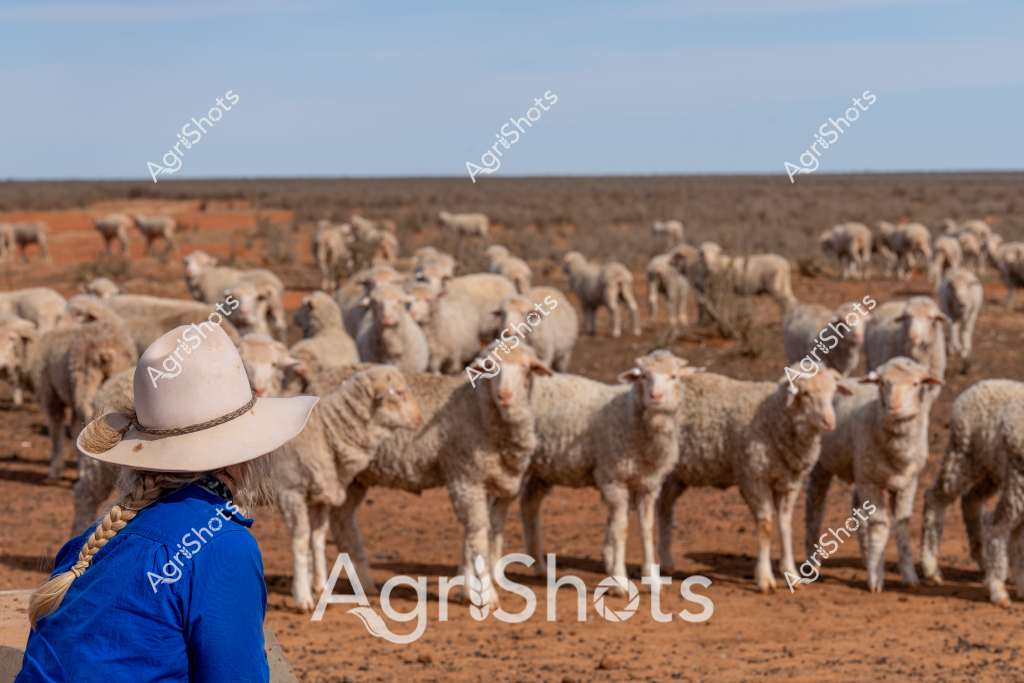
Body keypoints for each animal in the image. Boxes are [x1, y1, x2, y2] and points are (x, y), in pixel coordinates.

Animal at [28, 302, 137, 479]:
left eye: (78, 314)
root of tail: (106, 346)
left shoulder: (50, 396)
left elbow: (56, 432)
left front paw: (55, 470)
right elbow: (73, 427)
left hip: (83, 378)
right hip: (115, 370)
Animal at [273, 365, 424, 611]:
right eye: (400, 393)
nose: (420, 419)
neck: (327, 428)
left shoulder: (320, 495)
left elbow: (317, 539)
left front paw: (321, 589)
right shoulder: (291, 492)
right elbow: (301, 543)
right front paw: (303, 597)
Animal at [520, 351, 700, 592]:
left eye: (674, 376)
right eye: (644, 376)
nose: (656, 396)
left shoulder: (649, 484)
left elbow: (647, 528)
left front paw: (652, 579)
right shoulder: (614, 479)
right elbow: (620, 529)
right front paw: (620, 582)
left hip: (545, 467)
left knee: (529, 503)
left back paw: (539, 566)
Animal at [656, 365, 849, 593]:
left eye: (833, 392)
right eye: (805, 393)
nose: (829, 422)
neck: (772, 416)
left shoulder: (789, 483)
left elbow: (785, 524)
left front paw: (791, 574)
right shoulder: (753, 477)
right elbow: (766, 526)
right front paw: (765, 578)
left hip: (677, 474)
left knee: (664, 505)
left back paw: (667, 561)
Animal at [806, 357, 943, 592]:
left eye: (916, 384)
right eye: (883, 383)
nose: (893, 408)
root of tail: (843, 379)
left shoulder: (908, 483)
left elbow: (901, 525)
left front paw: (909, 576)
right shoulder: (871, 481)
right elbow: (880, 525)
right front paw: (875, 579)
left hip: (861, 469)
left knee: (855, 503)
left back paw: (866, 554)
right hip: (825, 465)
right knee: (815, 506)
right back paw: (813, 560)